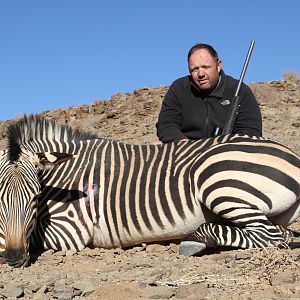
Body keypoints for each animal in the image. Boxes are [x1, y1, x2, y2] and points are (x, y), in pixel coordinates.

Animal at [0, 115, 298, 268]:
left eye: (36, 197)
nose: (13, 258)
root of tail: (291, 155)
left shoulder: (71, 231)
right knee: (280, 233)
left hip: (216, 178)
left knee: (268, 235)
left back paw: (193, 240)